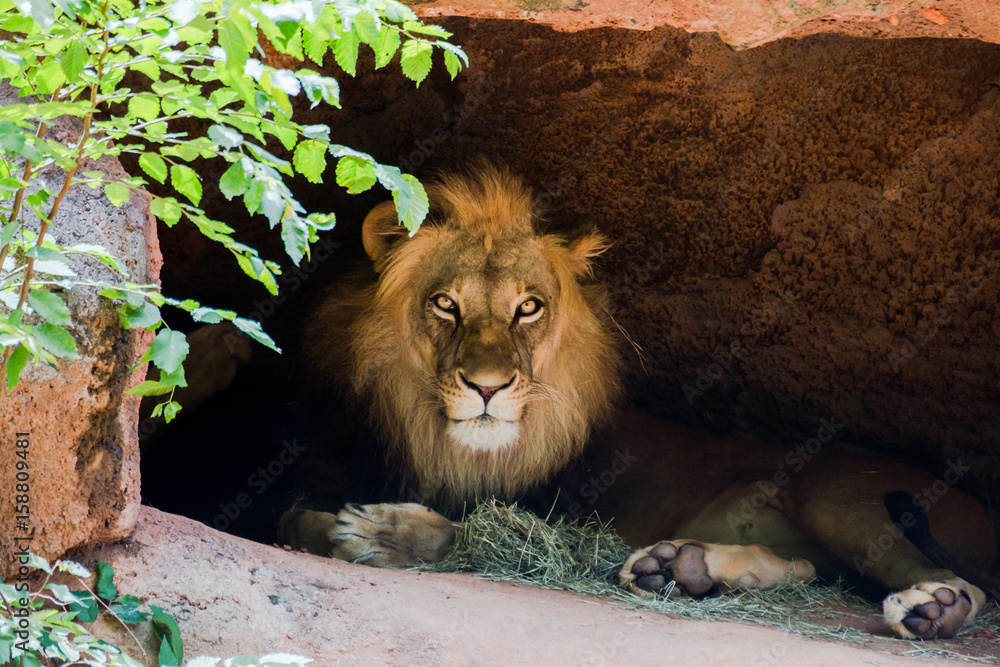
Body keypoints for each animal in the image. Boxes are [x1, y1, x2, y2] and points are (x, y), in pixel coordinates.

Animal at [280, 166, 997, 641]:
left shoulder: (566, 523)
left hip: (839, 492)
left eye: (528, 307)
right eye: (444, 303)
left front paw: (381, 532)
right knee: (805, 568)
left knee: (966, 583)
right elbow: (300, 517)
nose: (488, 387)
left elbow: (480, 533)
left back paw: (933, 609)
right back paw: (683, 568)